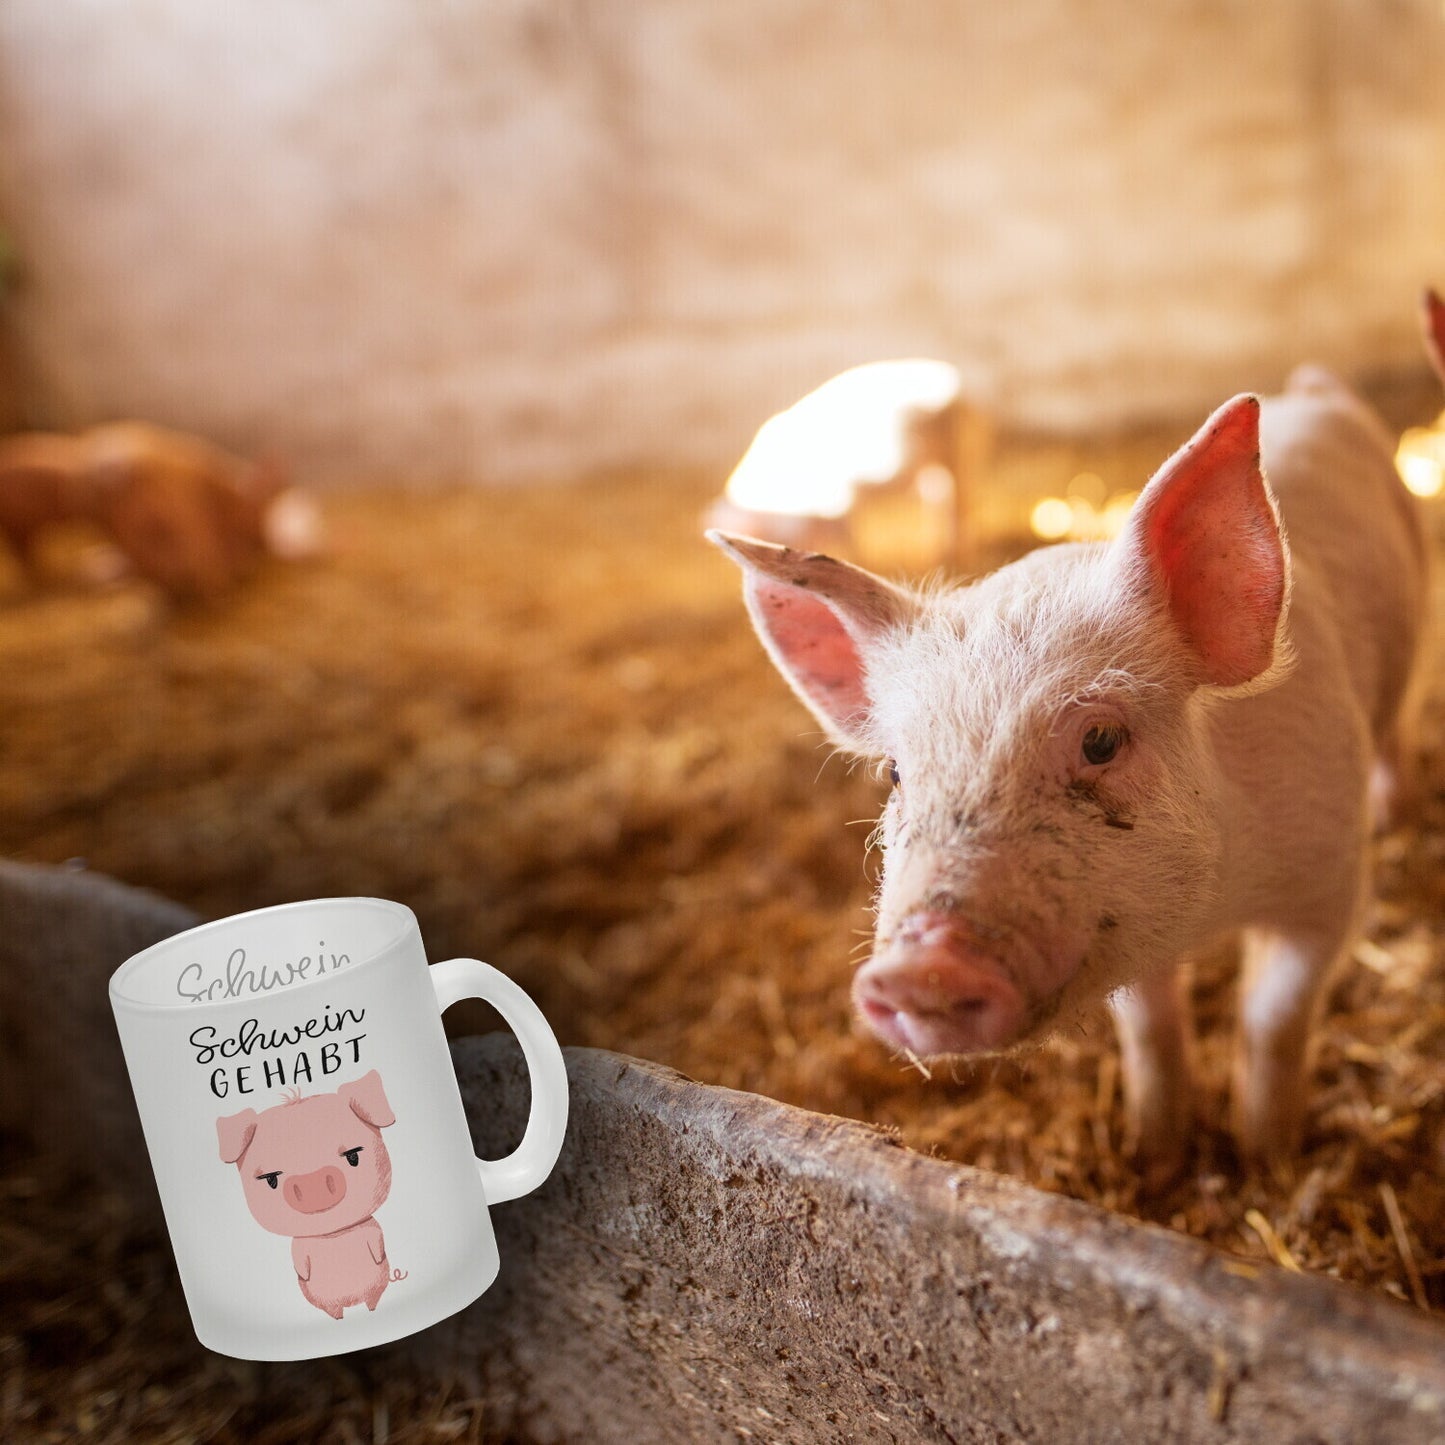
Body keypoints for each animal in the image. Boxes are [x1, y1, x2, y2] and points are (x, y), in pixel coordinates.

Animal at [215, 1075, 407, 1323]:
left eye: (353, 1156)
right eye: (270, 1179)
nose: (312, 1183)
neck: (331, 1234)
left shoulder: (372, 1229)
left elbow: (377, 1242)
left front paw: (379, 1255)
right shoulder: (299, 1248)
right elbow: (300, 1263)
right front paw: (302, 1274)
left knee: (371, 1301)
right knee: (335, 1312)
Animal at [705, 322, 1427, 1179]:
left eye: (1100, 739)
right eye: (895, 770)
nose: (918, 967)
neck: (1216, 905)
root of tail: (1311, 392)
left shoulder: (1327, 880)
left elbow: (1272, 1018)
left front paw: (1267, 1160)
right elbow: (1150, 1030)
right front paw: (1155, 1154)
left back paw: (1395, 813)